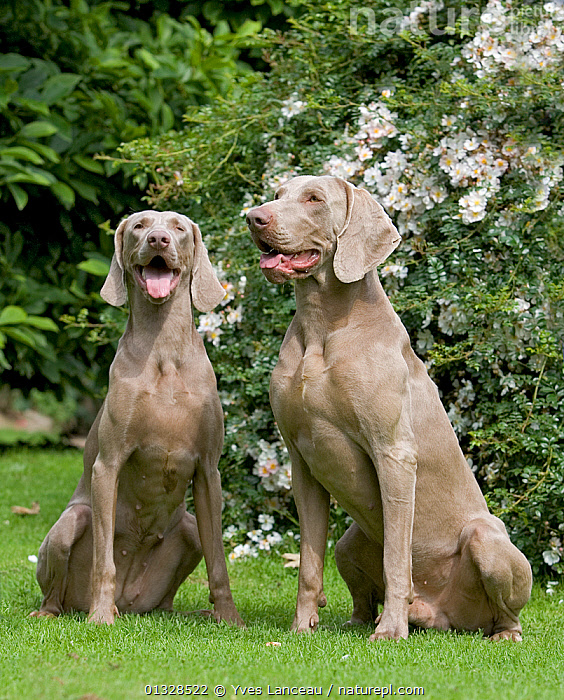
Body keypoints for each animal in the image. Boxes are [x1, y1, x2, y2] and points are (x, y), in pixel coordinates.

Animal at [30, 211, 242, 628]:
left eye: (178, 228)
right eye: (139, 226)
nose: (158, 240)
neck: (164, 352)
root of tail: (131, 604)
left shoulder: (208, 471)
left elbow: (219, 563)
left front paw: (230, 618)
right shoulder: (107, 464)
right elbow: (104, 559)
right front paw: (100, 616)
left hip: (187, 528)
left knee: (170, 593)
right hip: (69, 523)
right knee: (57, 591)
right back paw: (60, 611)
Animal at [248, 175, 532, 640]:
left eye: (314, 199)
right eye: (277, 194)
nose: (254, 217)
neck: (322, 326)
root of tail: (444, 618)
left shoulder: (394, 454)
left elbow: (397, 558)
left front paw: (391, 631)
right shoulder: (302, 462)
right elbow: (308, 563)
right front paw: (301, 627)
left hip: (486, 539)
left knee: (505, 611)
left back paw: (496, 633)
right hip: (350, 541)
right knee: (356, 584)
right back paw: (358, 620)